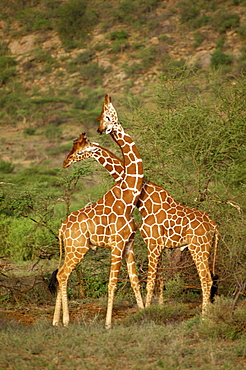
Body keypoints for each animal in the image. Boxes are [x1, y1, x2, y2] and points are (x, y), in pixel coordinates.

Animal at [49, 94, 144, 328]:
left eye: (108, 114)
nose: (65, 162)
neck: (129, 198)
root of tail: (61, 228)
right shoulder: (117, 244)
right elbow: (113, 283)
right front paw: (108, 323)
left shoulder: (129, 244)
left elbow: (135, 281)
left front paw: (145, 312)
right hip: (78, 248)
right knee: (63, 275)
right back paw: (66, 320)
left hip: (72, 248)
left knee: (60, 274)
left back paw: (56, 321)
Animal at [63, 119, 219, 316]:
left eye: (79, 151)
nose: (65, 162)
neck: (144, 199)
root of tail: (214, 225)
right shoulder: (158, 245)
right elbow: (159, 279)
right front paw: (160, 307)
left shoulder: (153, 243)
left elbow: (151, 280)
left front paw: (150, 309)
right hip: (204, 248)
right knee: (208, 278)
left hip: (198, 247)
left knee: (205, 278)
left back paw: (205, 315)